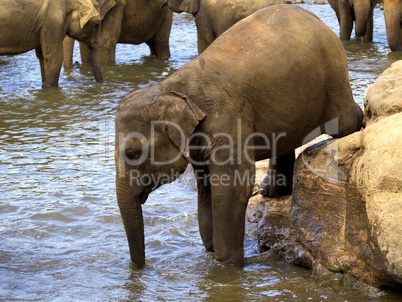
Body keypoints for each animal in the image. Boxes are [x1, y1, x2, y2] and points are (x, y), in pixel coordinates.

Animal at [114, 4, 362, 268]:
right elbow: (206, 186)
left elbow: (231, 187)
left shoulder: (227, 120)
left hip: (333, 75)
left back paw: (362, 117)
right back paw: (270, 191)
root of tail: (315, 18)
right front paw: (211, 251)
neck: (170, 87)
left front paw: (226, 265)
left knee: (344, 123)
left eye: (133, 153)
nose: (140, 269)